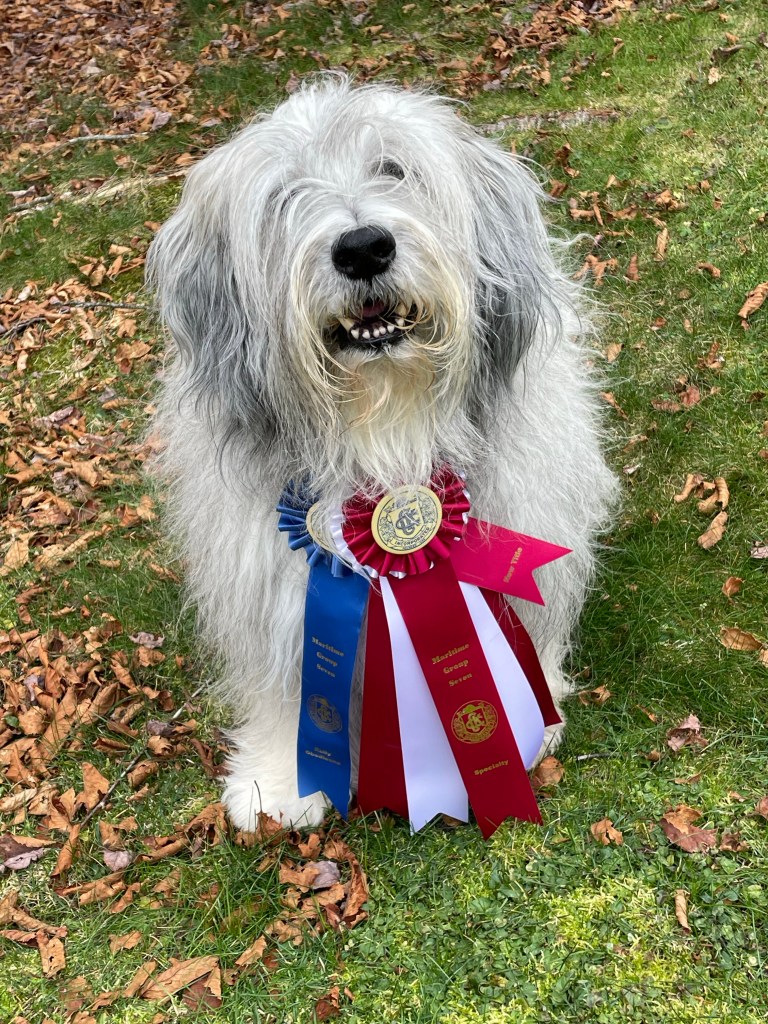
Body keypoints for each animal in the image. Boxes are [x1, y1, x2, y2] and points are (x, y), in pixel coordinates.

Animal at [146, 75, 617, 830]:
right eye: (285, 194)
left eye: (393, 169)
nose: (364, 247)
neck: (387, 429)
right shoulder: (271, 573)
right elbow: (285, 681)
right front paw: (280, 779)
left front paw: (525, 717)